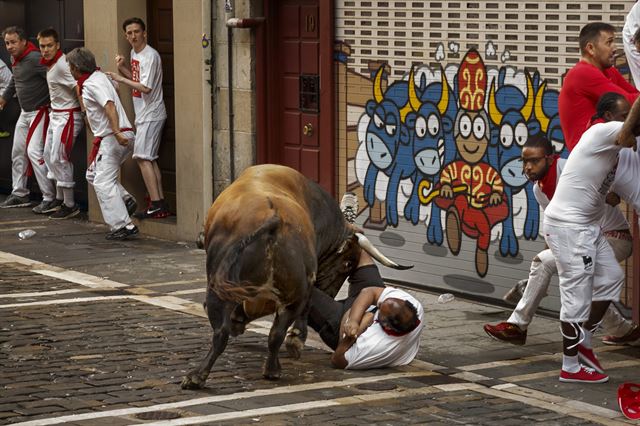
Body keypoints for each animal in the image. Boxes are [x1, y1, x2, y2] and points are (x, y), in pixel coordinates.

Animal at [180, 164, 410, 390]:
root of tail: (274, 218)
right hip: (284, 288)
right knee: (270, 332)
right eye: (347, 264)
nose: (330, 292)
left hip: (223, 288)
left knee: (228, 332)